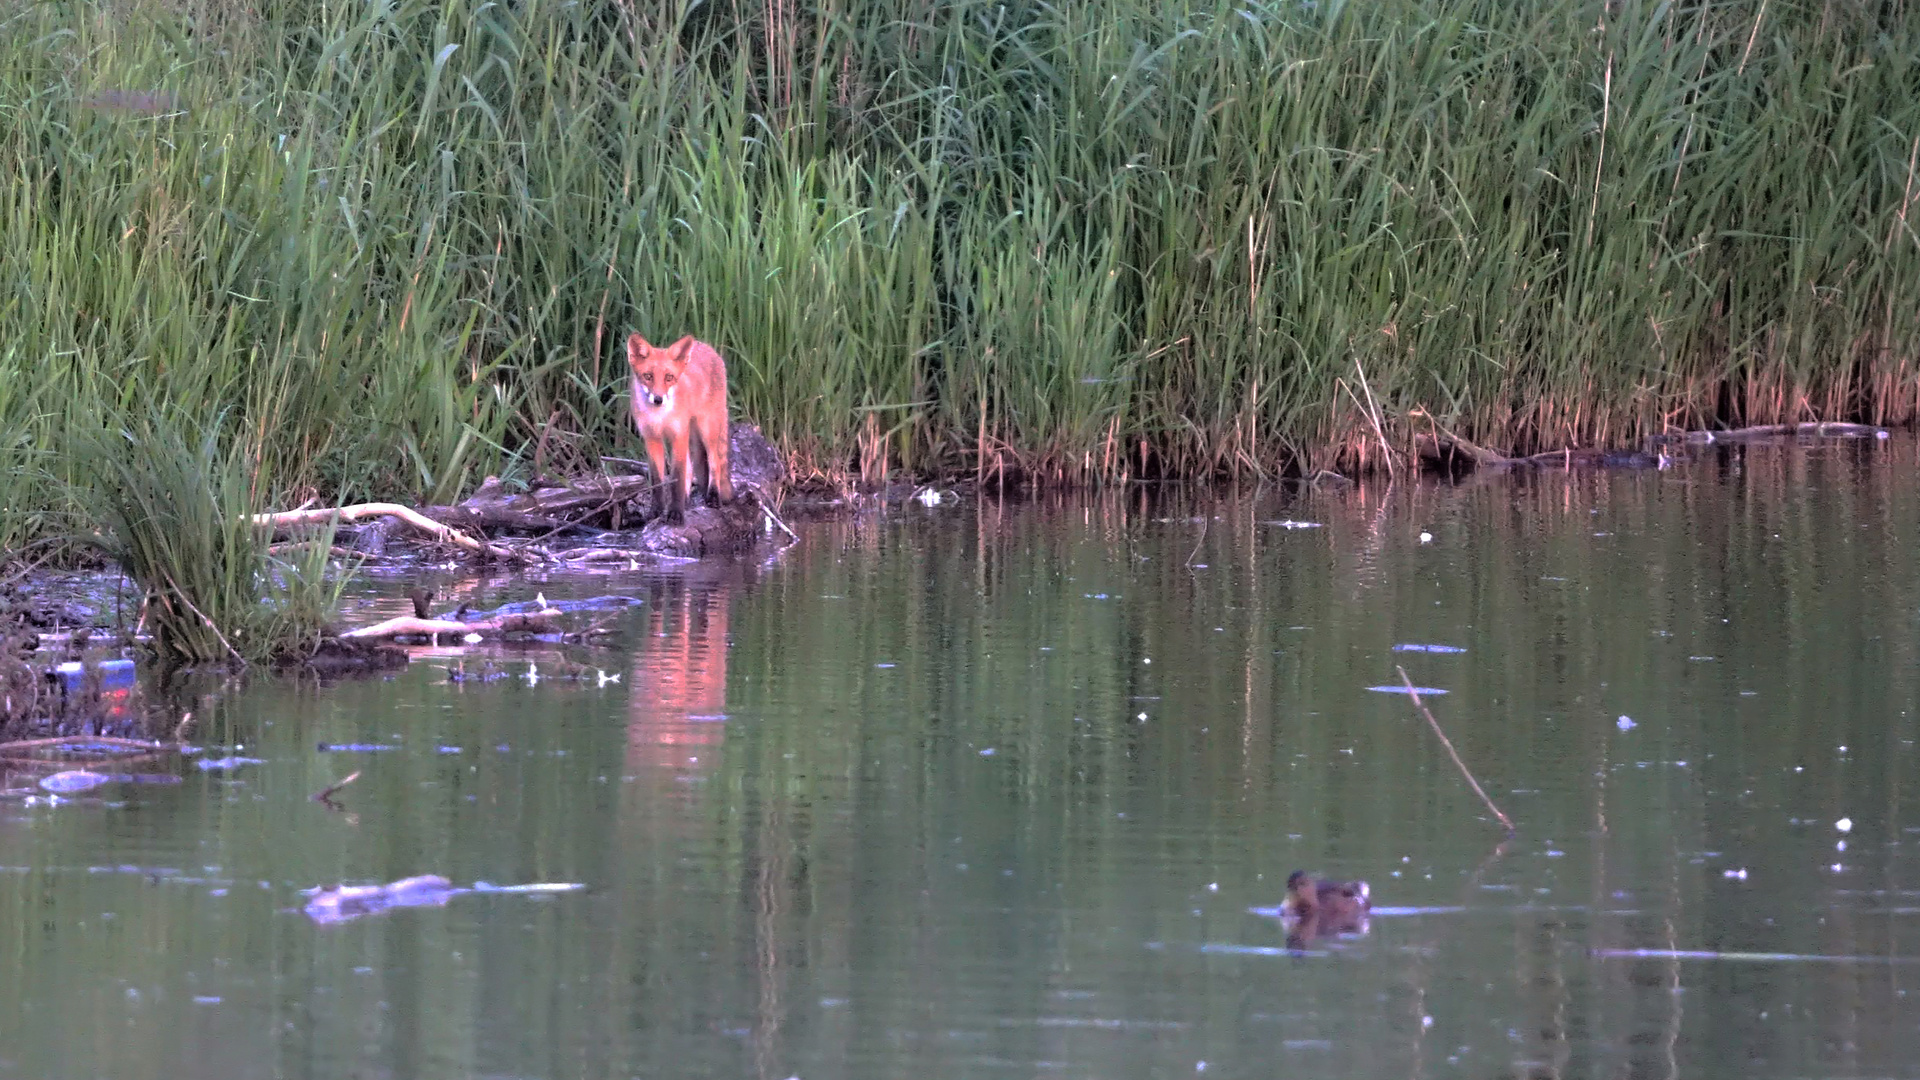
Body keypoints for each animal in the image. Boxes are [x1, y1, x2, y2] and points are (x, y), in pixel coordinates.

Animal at [625, 334, 729, 522]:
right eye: (648, 376)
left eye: (669, 377)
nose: (658, 399)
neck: (659, 417)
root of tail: (708, 347)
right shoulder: (651, 438)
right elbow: (658, 481)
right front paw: (656, 511)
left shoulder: (678, 434)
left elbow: (677, 478)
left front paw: (675, 513)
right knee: (690, 467)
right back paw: (686, 500)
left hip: (706, 429)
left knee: (714, 462)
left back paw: (713, 496)